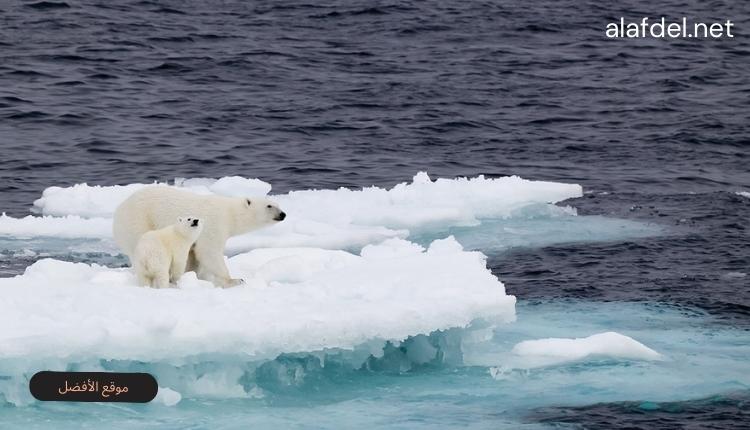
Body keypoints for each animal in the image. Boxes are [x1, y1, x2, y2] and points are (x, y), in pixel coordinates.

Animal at [113, 186, 286, 288]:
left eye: (277, 204)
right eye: (269, 206)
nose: (283, 214)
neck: (230, 214)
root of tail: (119, 210)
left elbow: (193, 256)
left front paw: (193, 276)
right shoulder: (214, 224)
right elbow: (210, 252)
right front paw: (235, 280)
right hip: (139, 220)